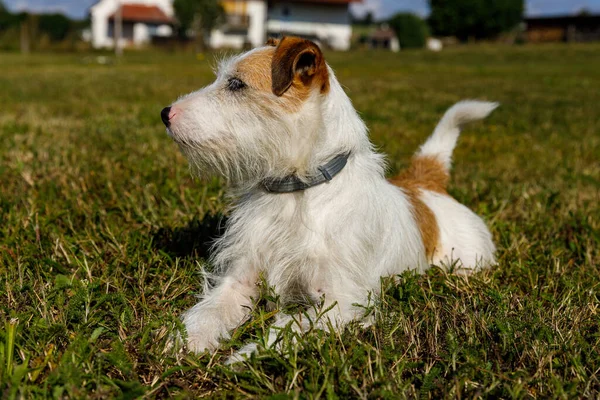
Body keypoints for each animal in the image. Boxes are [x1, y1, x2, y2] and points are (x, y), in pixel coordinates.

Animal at [159, 36, 496, 362]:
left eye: (236, 84)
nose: (165, 113)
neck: (296, 191)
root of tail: (425, 181)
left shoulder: (340, 303)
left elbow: (289, 328)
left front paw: (246, 357)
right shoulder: (239, 282)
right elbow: (208, 313)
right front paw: (183, 342)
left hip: (467, 263)